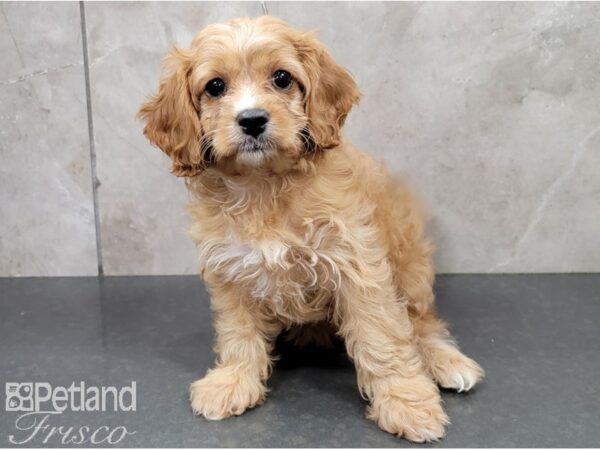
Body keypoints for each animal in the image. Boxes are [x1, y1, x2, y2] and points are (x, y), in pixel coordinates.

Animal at [139, 15, 482, 442]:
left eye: (282, 78)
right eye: (215, 86)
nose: (252, 120)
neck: (264, 185)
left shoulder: (357, 265)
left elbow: (382, 336)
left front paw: (406, 403)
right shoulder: (229, 271)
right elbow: (238, 334)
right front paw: (232, 382)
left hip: (411, 268)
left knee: (422, 323)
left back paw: (446, 361)